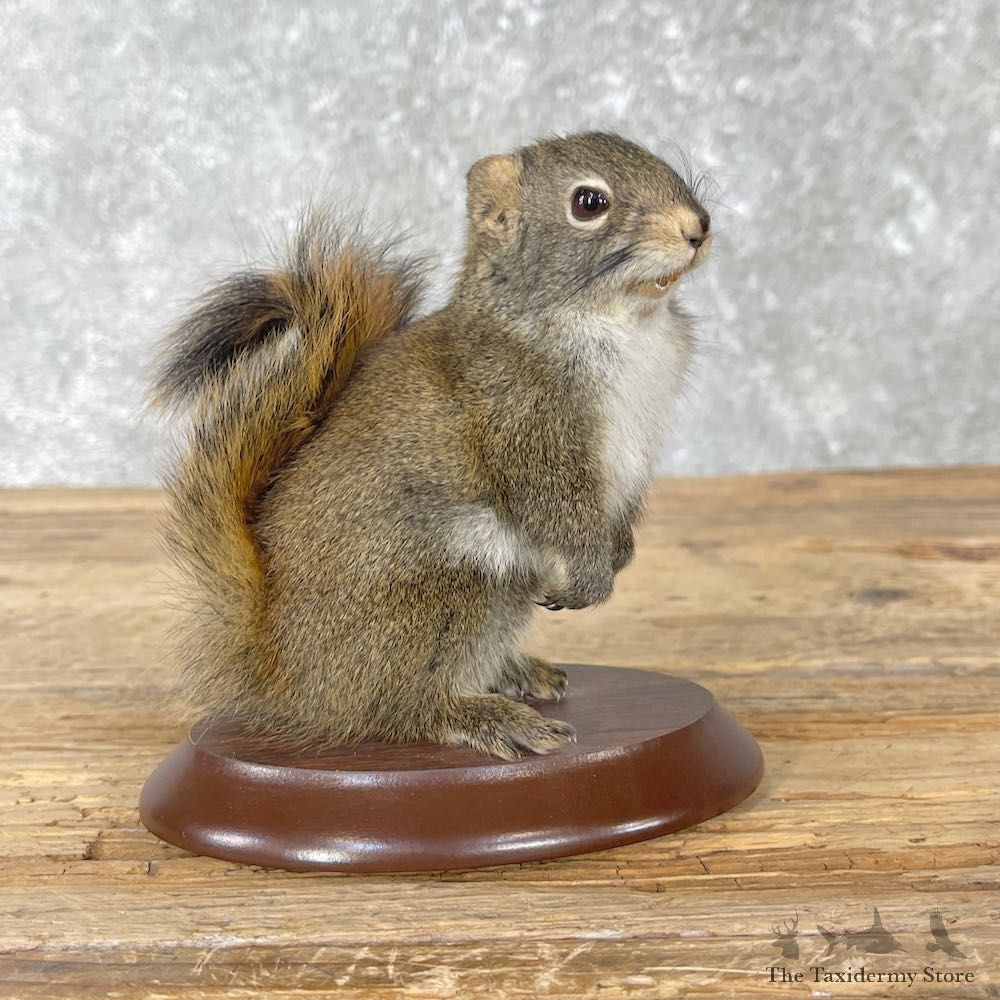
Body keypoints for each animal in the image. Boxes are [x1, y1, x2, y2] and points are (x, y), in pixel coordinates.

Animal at [151, 131, 712, 760]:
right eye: (589, 203)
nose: (698, 226)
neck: (627, 322)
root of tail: (285, 679)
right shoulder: (523, 425)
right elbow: (557, 507)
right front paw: (593, 574)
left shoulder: (639, 441)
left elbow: (622, 507)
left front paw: (623, 552)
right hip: (445, 596)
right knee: (400, 707)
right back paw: (484, 715)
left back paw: (514, 673)